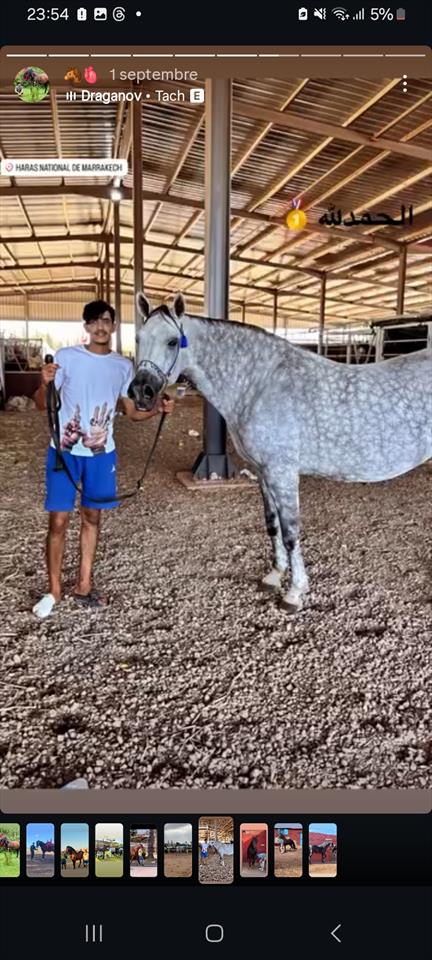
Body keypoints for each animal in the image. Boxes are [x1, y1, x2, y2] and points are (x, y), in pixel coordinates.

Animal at [130, 293, 432, 613]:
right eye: (138, 338)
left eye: (173, 341)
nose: (141, 392)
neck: (261, 384)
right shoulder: (264, 473)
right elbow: (272, 525)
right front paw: (274, 577)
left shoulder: (283, 473)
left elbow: (290, 533)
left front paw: (295, 592)